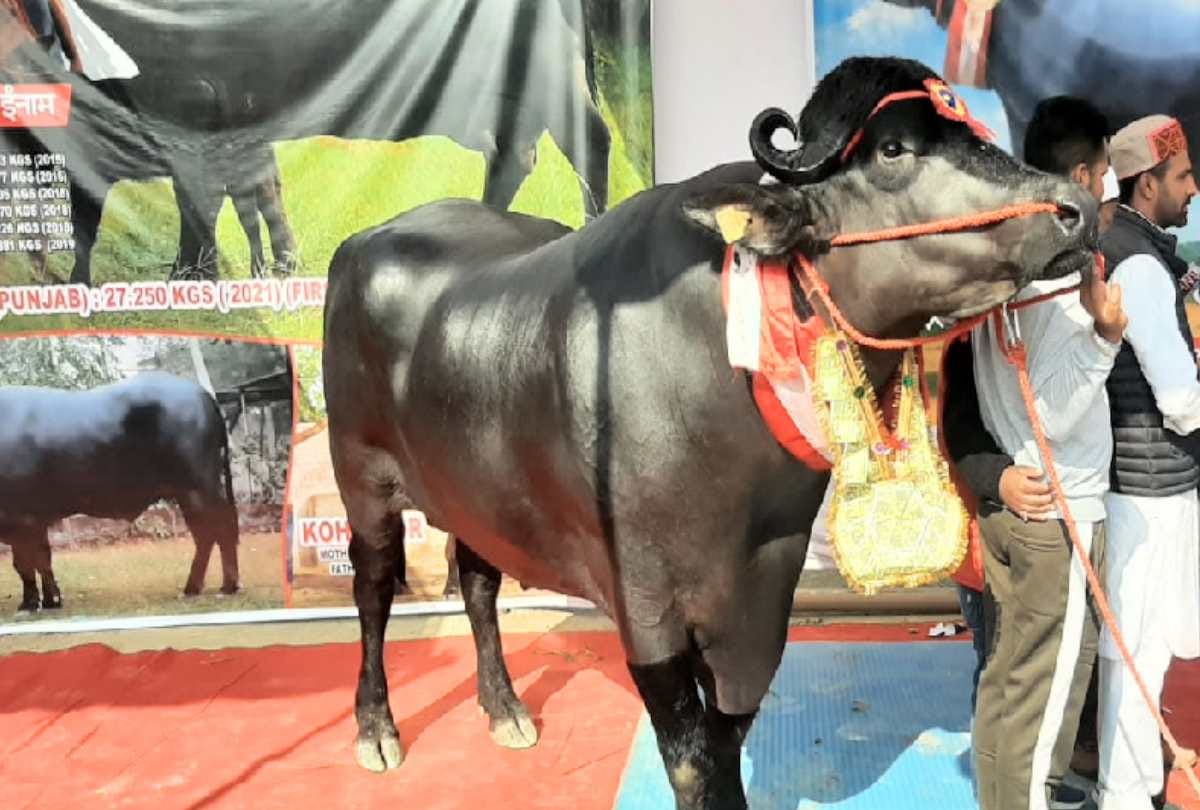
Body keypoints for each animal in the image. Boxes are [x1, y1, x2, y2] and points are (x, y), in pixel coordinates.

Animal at [0, 0, 611, 286]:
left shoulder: (189, 103)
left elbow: (198, 201)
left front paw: (193, 272)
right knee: (513, 154)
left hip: (551, 74)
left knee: (591, 142)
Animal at [0, 372, 239, 613]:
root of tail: (204, 396)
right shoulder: (32, 520)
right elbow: (39, 561)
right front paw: (49, 601)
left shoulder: (22, 518)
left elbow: (26, 564)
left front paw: (31, 604)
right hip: (187, 494)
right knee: (205, 535)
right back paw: (192, 588)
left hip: (200, 487)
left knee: (222, 528)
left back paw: (227, 587)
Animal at [322, 56, 1099, 809]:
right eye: (892, 149)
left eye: (977, 134)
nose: (1078, 209)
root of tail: (362, 241)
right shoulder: (645, 606)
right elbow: (692, 760)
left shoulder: (760, 599)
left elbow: (725, 742)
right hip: (362, 480)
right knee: (373, 588)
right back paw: (376, 728)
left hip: (476, 490)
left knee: (478, 578)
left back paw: (505, 708)